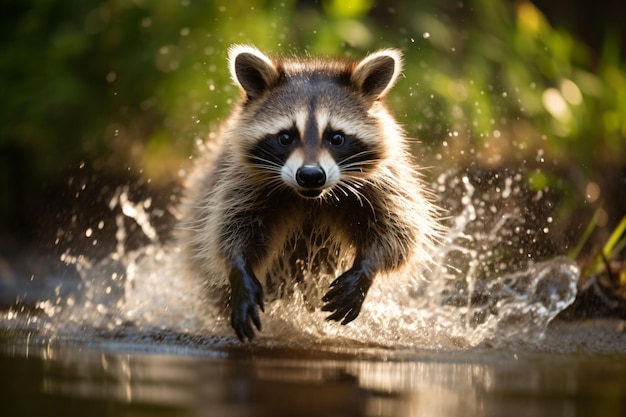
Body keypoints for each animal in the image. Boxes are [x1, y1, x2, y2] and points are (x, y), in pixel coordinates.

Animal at [180, 44, 442, 340]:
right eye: (285, 137)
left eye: (336, 137)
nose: (311, 175)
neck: (312, 198)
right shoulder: (239, 180)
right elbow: (229, 229)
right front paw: (239, 269)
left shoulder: (384, 182)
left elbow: (398, 232)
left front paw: (367, 267)